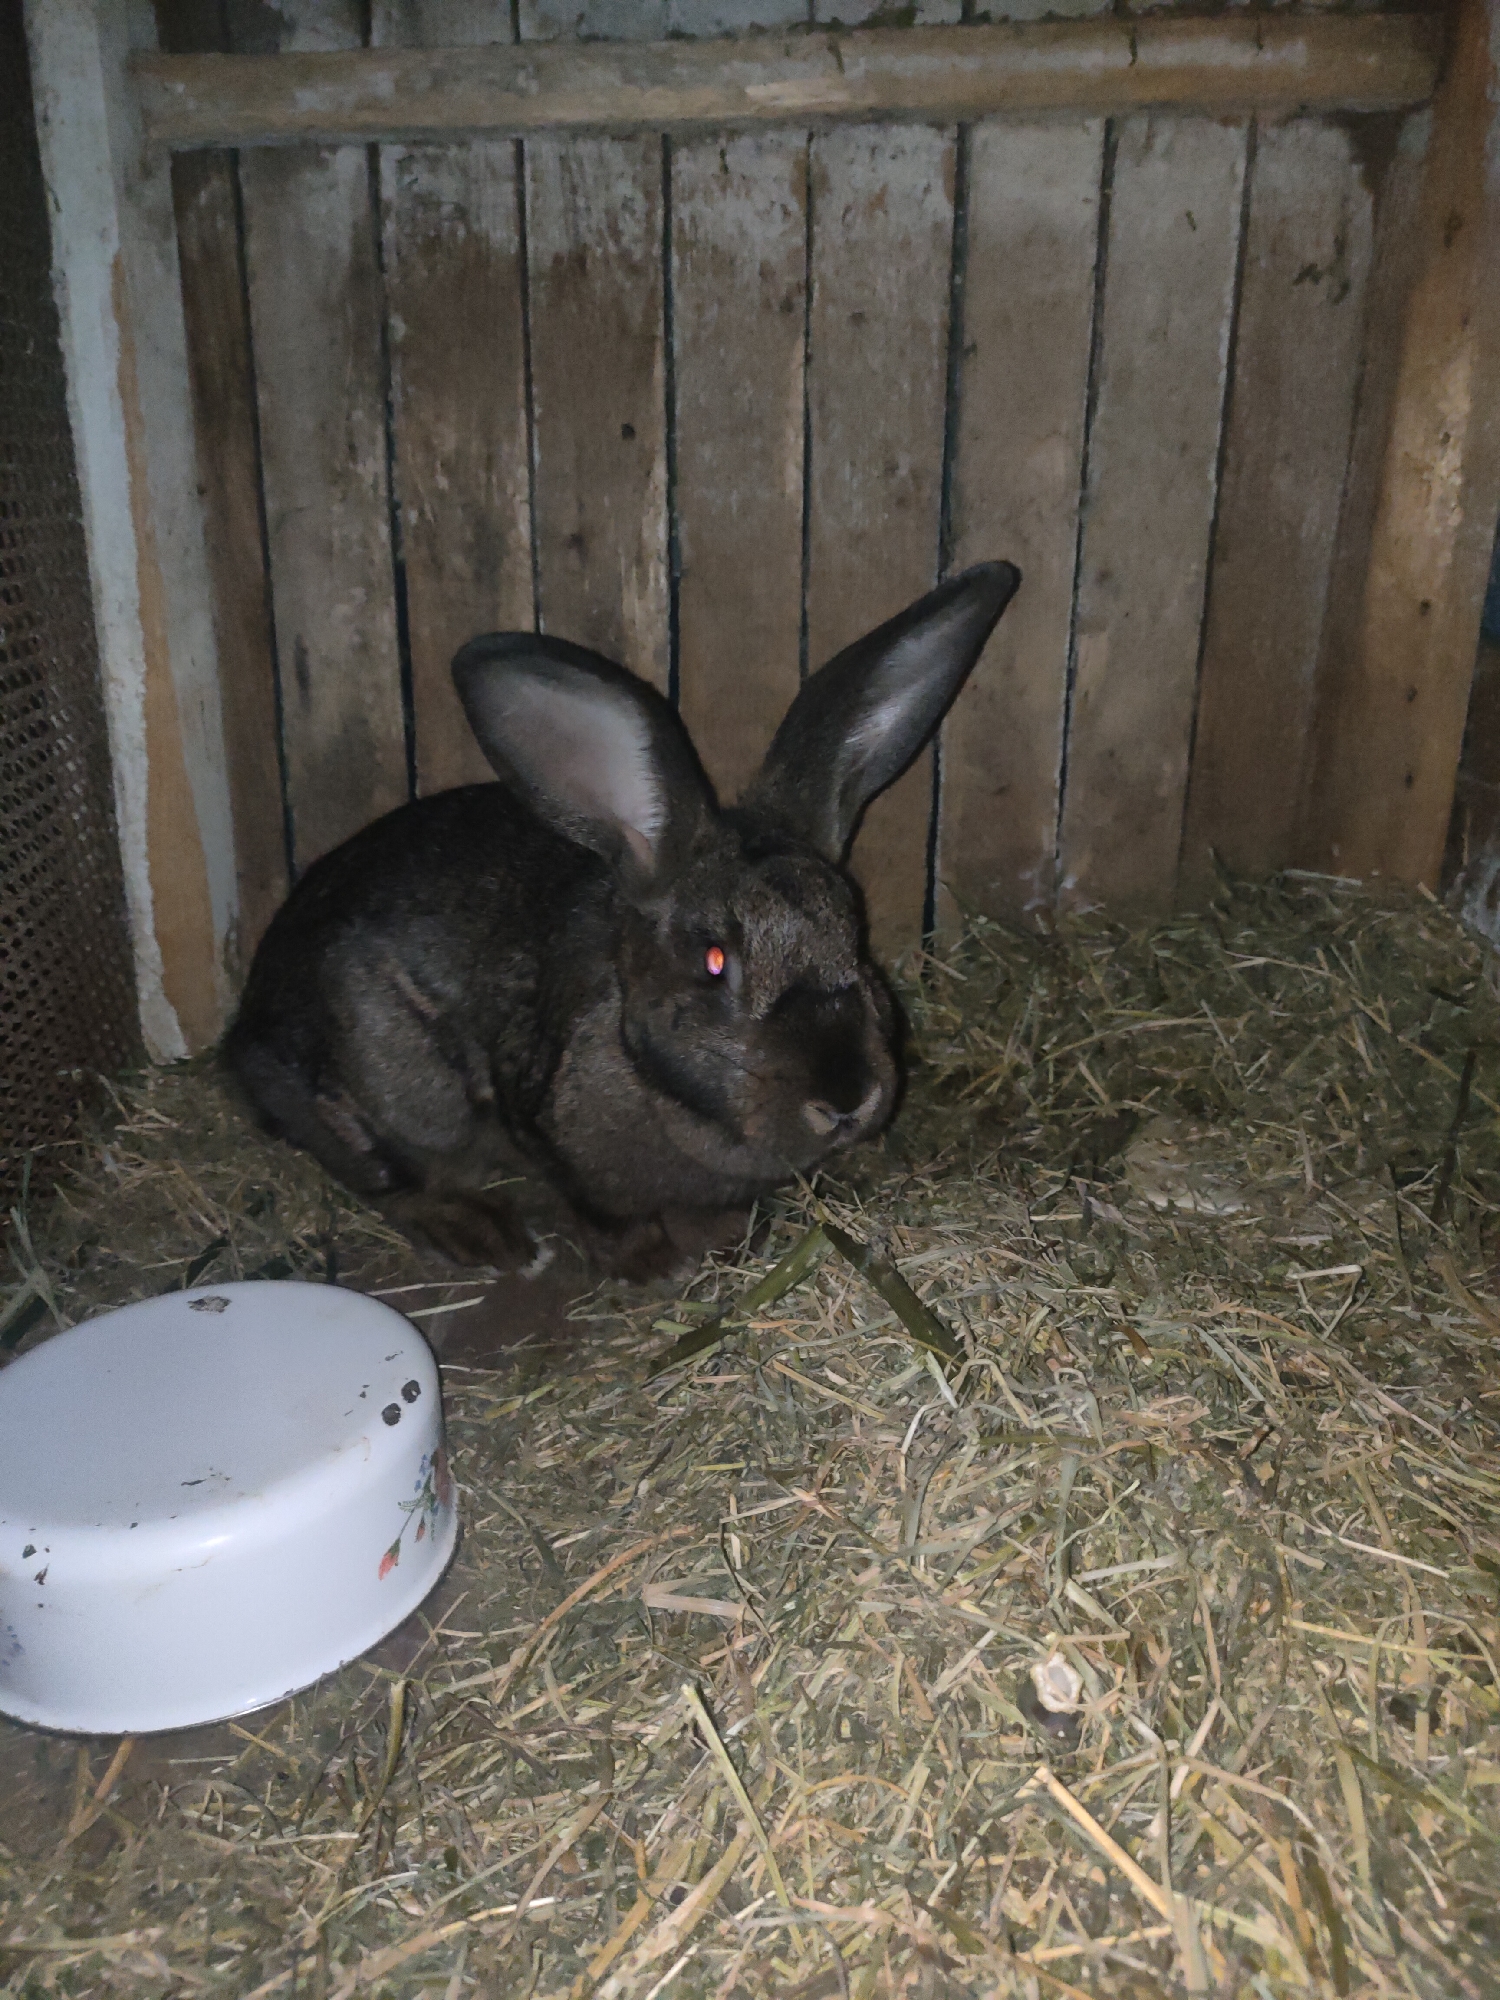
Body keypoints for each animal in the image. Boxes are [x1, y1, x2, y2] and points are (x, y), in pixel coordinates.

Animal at [224, 561, 1020, 1278]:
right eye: (715, 962)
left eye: (855, 938)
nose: (848, 1098)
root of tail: (246, 1033)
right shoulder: (541, 1127)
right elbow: (605, 1214)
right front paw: (652, 1265)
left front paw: (725, 1243)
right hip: (386, 1084)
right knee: (385, 1173)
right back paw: (487, 1238)